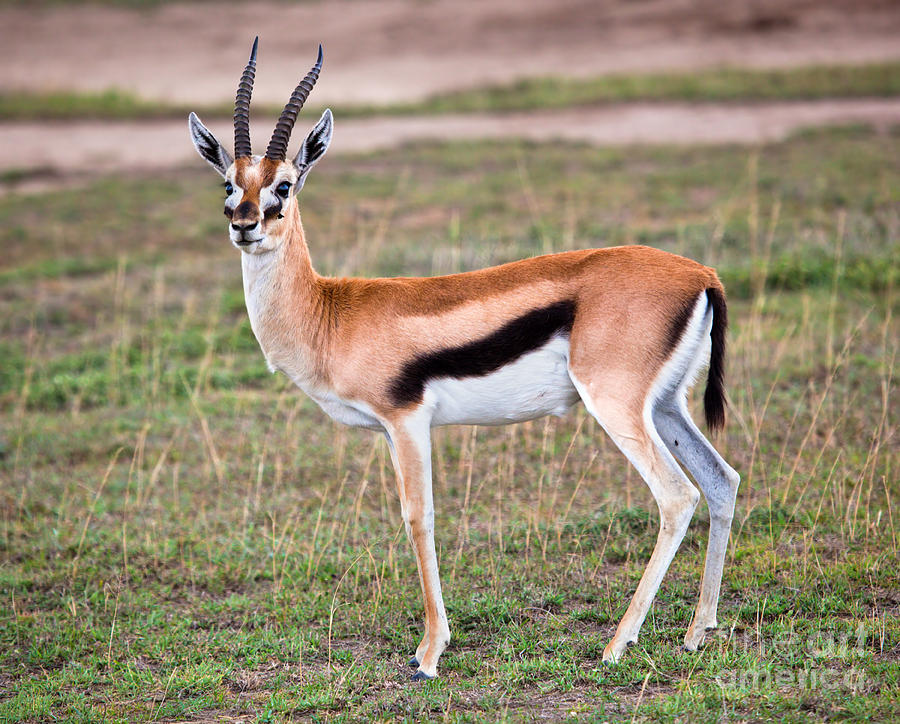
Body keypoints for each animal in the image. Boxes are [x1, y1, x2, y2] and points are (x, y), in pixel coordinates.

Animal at [188, 39, 741, 681]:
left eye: (284, 185)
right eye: (229, 184)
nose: (244, 224)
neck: (331, 311)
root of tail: (701, 274)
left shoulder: (406, 422)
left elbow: (418, 517)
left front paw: (429, 653)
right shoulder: (392, 431)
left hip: (616, 403)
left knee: (677, 496)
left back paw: (616, 644)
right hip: (667, 406)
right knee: (721, 480)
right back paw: (698, 632)